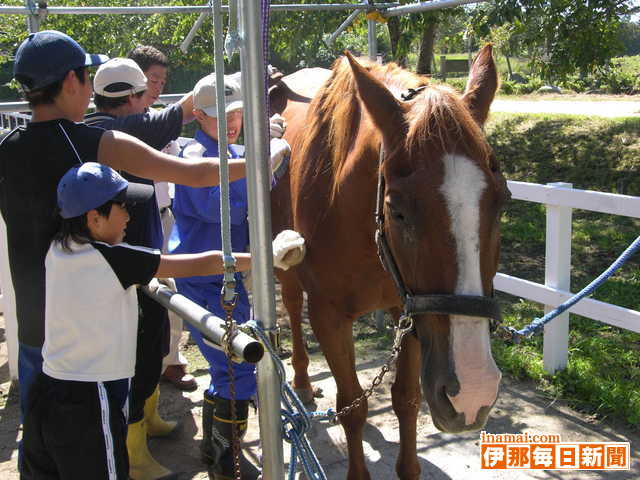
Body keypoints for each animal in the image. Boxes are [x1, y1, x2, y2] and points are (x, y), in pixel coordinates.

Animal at [268, 44, 508, 476]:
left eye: (502, 202)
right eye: (397, 210)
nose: (473, 389)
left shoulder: (409, 310)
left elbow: (406, 399)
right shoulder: (329, 317)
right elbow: (353, 407)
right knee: (293, 307)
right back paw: (302, 382)